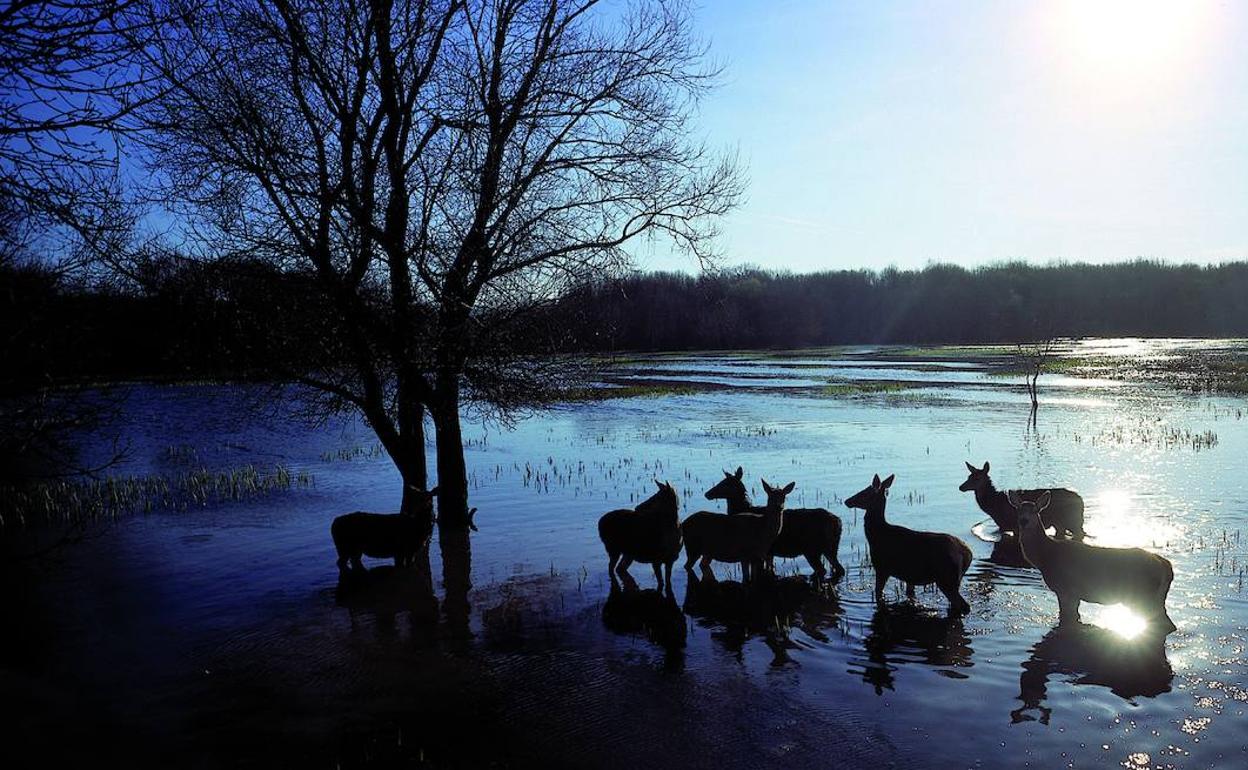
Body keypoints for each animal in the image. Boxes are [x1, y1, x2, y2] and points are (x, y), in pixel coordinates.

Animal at [708, 461, 843, 581]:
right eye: (722, 482)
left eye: (725, 483)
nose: (707, 494)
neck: (743, 509)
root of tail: (838, 522)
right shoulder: (769, 552)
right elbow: (769, 568)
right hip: (830, 547)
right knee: (838, 568)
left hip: (812, 548)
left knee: (823, 569)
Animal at [848, 474, 973, 611]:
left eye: (864, 492)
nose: (847, 501)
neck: (875, 536)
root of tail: (968, 553)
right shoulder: (909, 575)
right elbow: (910, 593)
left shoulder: (882, 567)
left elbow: (878, 594)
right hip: (954, 579)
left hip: (946, 577)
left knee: (964, 605)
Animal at [958, 461, 1088, 541]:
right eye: (968, 477)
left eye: (977, 478)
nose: (961, 487)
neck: (994, 506)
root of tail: (1081, 500)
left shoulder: (1014, 525)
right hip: (1060, 523)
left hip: (1073, 521)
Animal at [1008, 491, 1173, 636]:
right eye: (1018, 509)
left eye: (1036, 510)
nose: (1024, 521)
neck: (1045, 556)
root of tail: (1166, 567)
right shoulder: (1074, 594)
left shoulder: (1066, 589)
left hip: (1144, 596)